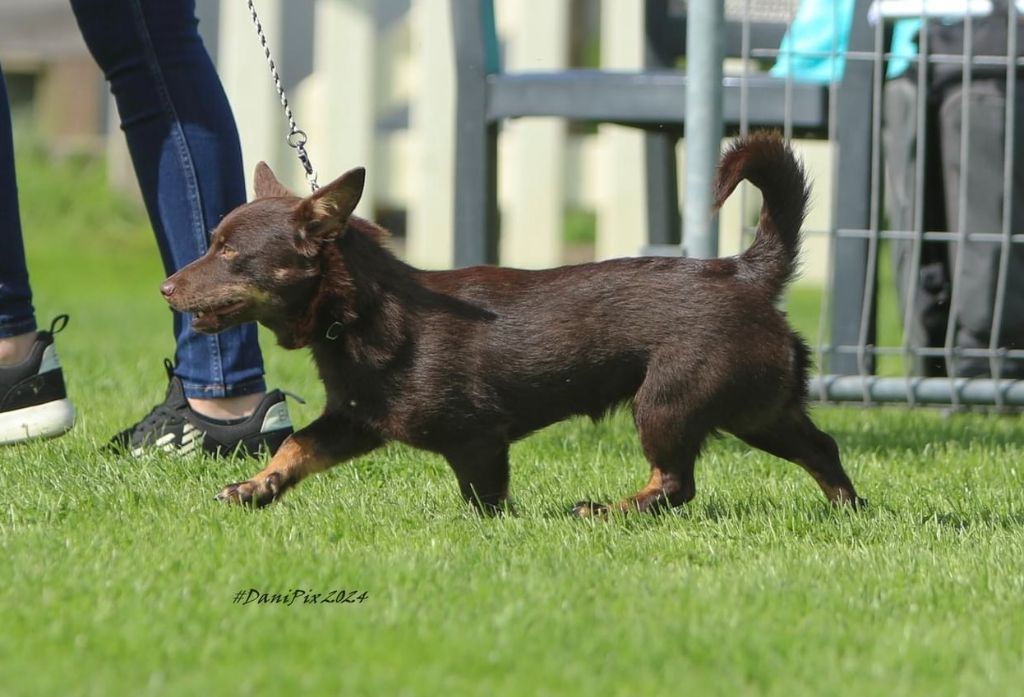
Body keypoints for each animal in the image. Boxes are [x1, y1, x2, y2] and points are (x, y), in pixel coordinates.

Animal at [161, 132, 864, 511]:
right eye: (213, 243)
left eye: (229, 253)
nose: (165, 287)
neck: (363, 313)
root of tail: (743, 272)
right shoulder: (355, 421)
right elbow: (295, 445)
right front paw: (257, 488)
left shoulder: (477, 440)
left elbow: (485, 502)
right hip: (760, 407)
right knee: (820, 447)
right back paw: (848, 511)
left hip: (669, 402)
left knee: (675, 482)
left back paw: (605, 511)